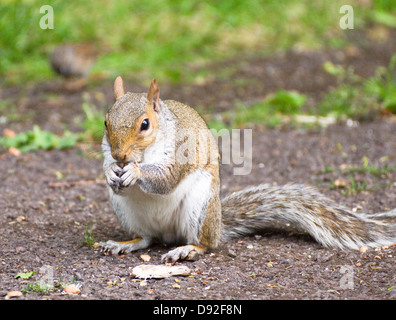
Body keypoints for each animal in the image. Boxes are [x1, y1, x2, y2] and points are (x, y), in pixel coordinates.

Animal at [97, 77, 394, 262]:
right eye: (105, 122)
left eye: (145, 124)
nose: (119, 155)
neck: (144, 152)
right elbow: (110, 171)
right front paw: (111, 172)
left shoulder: (182, 149)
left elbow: (166, 179)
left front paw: (136, 172)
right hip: (127, 214)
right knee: (147, 238)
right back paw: (125, 244)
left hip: (200, 207)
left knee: (206, 244)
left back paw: (188, 250)